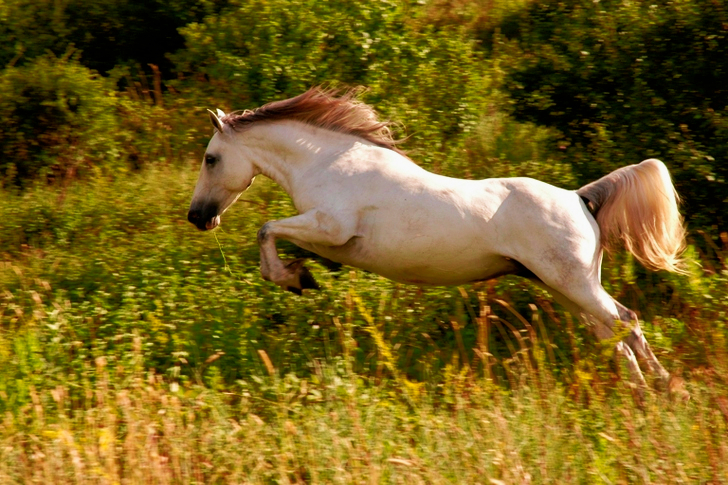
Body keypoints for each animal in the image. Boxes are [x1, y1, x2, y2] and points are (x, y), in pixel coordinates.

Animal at [187, 87, 687, 393]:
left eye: (211, 159)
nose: (197, 217)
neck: (329, 163)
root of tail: (580, 197)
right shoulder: (325, 236)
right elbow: (277, 235)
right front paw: (301, 275)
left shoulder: (330, 227)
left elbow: (267, 228)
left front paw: (293, 278)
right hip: (564, 287)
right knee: (611, 333)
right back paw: (637, 390)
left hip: (573, 284)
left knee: (626, 321)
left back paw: (663, 390)